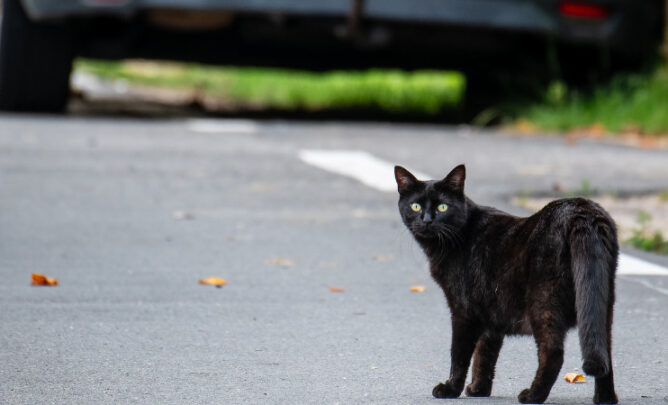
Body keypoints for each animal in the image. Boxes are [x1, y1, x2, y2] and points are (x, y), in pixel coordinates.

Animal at [394, 164, 620, 404]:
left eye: (443, 207)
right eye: (415, 206)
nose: (427, 219)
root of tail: (582, 211)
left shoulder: (463, 311)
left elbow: (460, 354)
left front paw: (450, 389)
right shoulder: (490, 313)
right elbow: (484, 354)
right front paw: (478, 389)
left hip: (543, 302)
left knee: (552, 352)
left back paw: (532, 395)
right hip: (602, 304)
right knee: (605, 350)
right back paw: (605, 398)